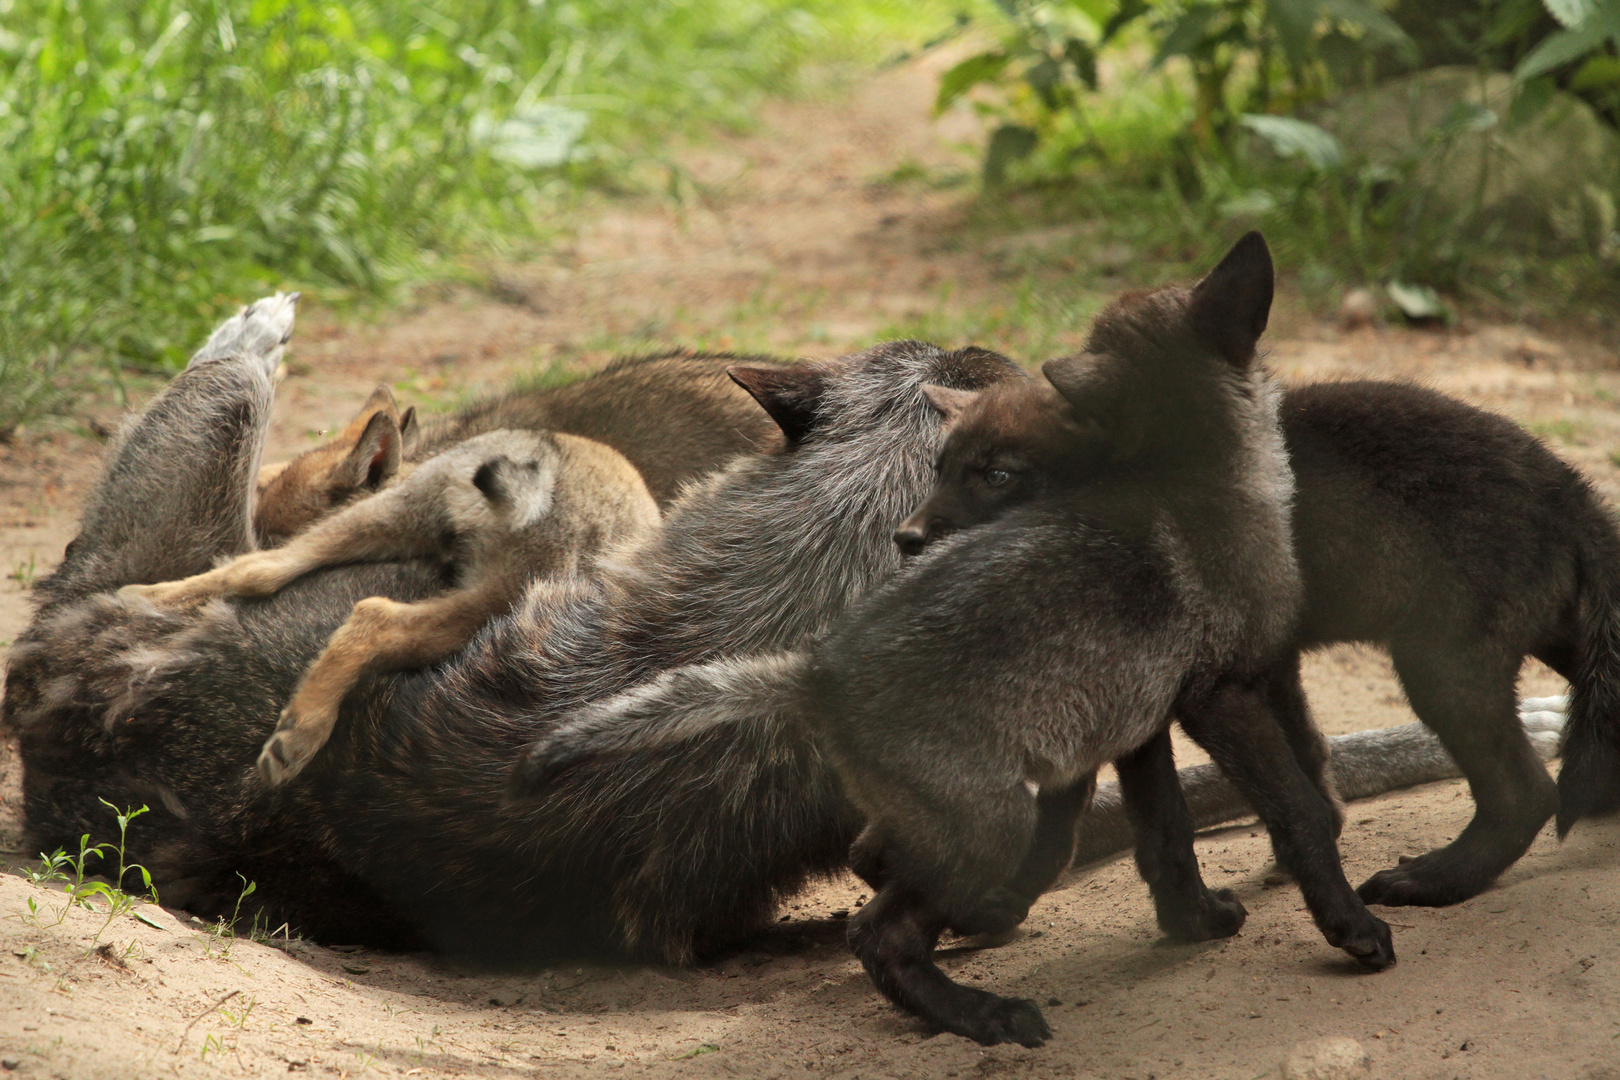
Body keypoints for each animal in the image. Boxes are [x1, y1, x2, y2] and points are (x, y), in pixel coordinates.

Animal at [115, 427, 657, 790]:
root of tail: (540, 458)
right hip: (496, 600)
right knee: (374, 617)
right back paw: (300, 736)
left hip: (386, 520)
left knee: (259, 570)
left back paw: (139, 599)